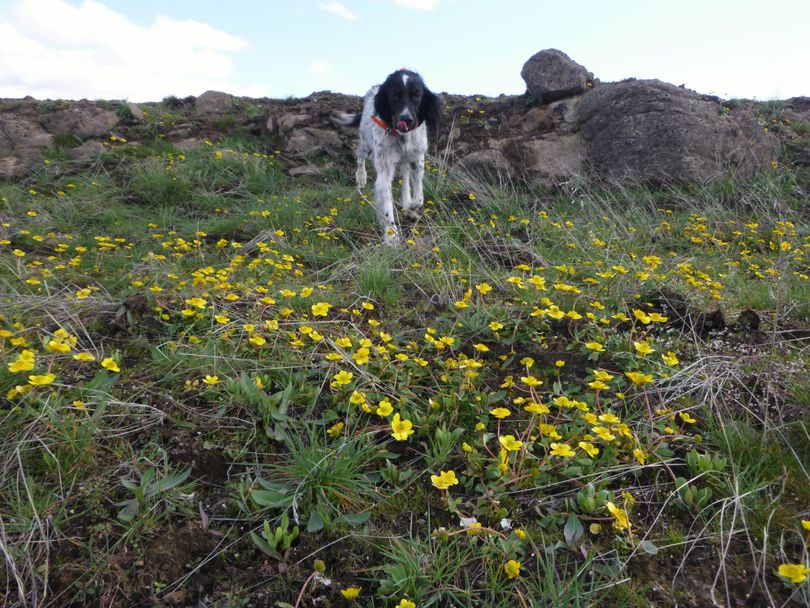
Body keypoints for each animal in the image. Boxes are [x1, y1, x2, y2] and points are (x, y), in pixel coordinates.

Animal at [334, 70, 438, 243]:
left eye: (417, 95)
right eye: (395, 95)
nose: (406, 119)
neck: (402, 137)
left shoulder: (417, 159)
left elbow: (418, 198)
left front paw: (410, 209)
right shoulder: (385, 166)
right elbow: (387, 202)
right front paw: (392, 236)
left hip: (404, 162)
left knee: (405, 182)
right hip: (366, 144)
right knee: (360, 156)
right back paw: (361, 177)